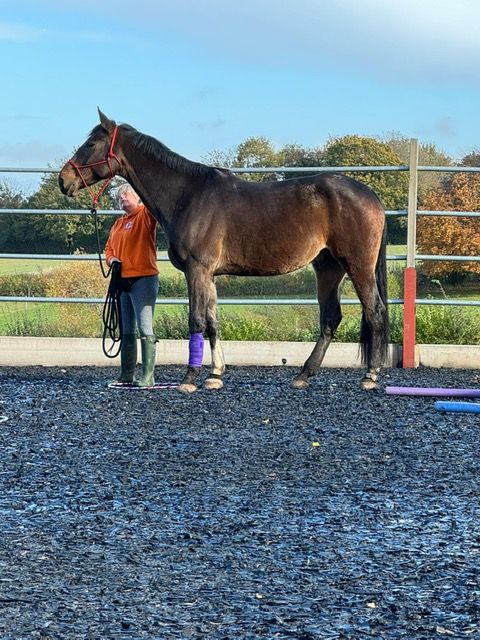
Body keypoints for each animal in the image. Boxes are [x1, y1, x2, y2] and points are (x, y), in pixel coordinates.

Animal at [59, 109, 389, 394]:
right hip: (328, 267)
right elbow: (213, 322)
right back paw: (303, 375)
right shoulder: (210, 276)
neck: (188, 195)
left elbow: (196, 320)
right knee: (331, 318)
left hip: (357, 265)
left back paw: (370, 376)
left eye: (91, 143)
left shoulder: (197, 270)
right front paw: (215, 375)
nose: (64, 180)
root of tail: (371, 196)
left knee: (375, 311)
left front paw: (190, 378)